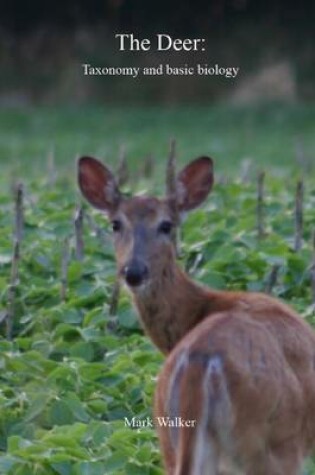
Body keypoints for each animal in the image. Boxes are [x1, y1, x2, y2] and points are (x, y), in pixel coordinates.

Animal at [78, 156, 315, 475]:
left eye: (166, 225)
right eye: (116, 224)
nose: (134, 272)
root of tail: (199, 364)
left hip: (169, 436)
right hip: (271, 443)